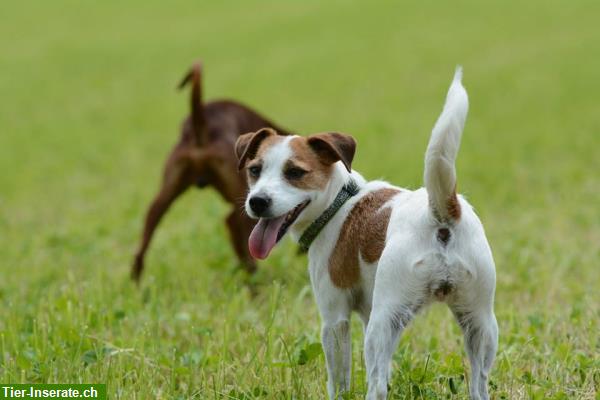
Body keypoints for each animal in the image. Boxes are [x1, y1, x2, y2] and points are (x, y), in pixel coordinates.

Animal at [234, 67, 496, 398]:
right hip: (480, 323)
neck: (339, 202)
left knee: (377, 385)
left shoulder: (335, 318)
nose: (257, 201)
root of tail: (439, 212)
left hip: (383, 325)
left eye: (294, 173)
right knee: (479, 384)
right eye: (254, 170)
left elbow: (339, 380)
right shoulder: (367, 313)